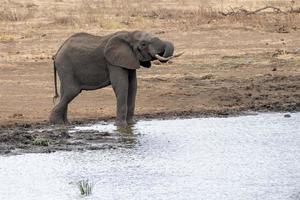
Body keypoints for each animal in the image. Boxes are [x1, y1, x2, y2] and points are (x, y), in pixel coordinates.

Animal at [48, 30, 183, 126]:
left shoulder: (129, 59)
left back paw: (66, 124)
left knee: (64, 92)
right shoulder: (113, 62)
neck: (130, 34)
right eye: (143, 44)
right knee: (72, 91)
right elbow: (122, 85)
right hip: (66, 66)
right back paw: (57, 123)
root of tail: (57, 53)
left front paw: (131, 124)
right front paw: (121, 126)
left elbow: (133, 86)